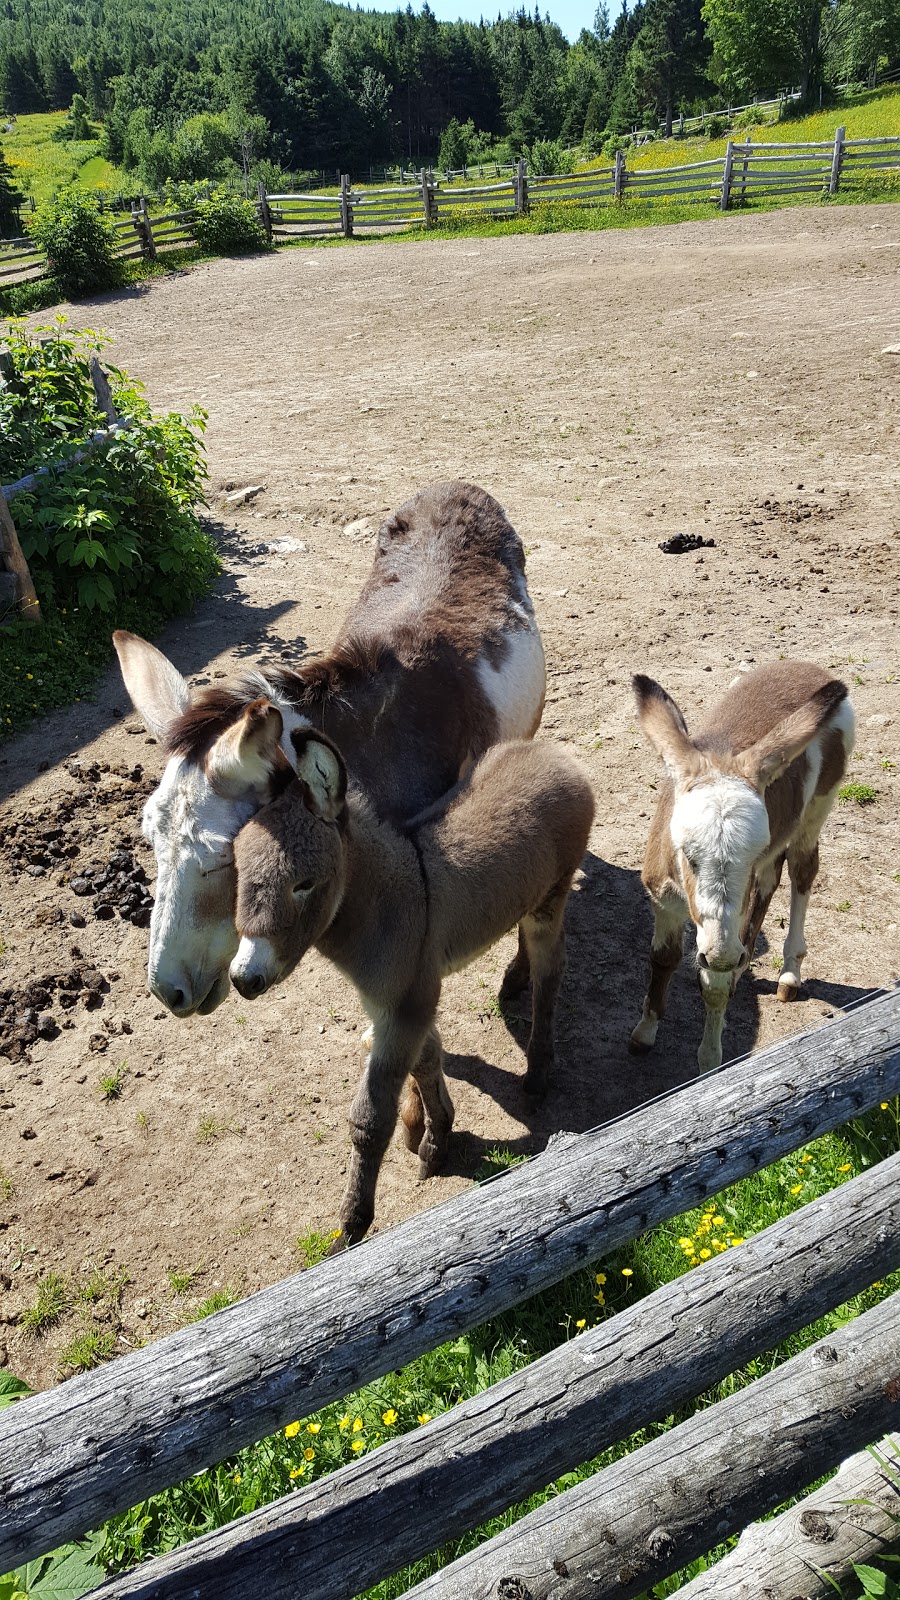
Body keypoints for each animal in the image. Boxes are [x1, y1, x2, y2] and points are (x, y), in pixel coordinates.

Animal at [229, 729, 589, 1248]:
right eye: (238, 870)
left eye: (304, 884)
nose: (243, 979)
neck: (395, 900)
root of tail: (559, 757)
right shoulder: (396, 1003)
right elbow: (427, 1059)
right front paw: (438, 1138)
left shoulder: (407, 1004)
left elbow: (370, 1120)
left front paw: (351, 1227)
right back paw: (512, 981)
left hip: (552, 897)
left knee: (551, 972)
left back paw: (538, 1071)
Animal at [627, 662, 851, 1075]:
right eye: (686, 854)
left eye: (750, 852)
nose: (723, 956)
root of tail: (805, 667)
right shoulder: (664, 900)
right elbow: (663, 959)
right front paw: (644, 1034)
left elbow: (713, 990)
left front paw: (710, 1063)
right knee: (769, 881)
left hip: (818, 807)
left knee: (802, 870)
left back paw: (788, 974)